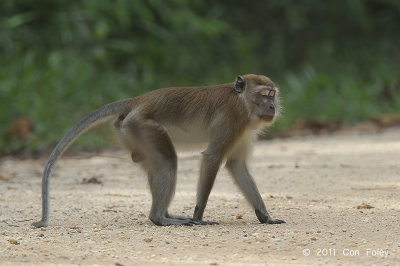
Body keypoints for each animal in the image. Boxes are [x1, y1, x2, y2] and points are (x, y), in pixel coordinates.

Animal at [32, 74, 286, 228]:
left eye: (272, 95)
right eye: (264, 95)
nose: (272, 107)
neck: (242, 102)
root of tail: (138, 101)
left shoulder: (244, 129)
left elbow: (236, 165)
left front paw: (265, 216)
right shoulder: (234, 118)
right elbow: (213, 157)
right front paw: (198, 217)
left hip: (132, 133)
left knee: (159, 164)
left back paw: (166, 214)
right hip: (143, 126)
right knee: (168, 161)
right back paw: (159, 218)